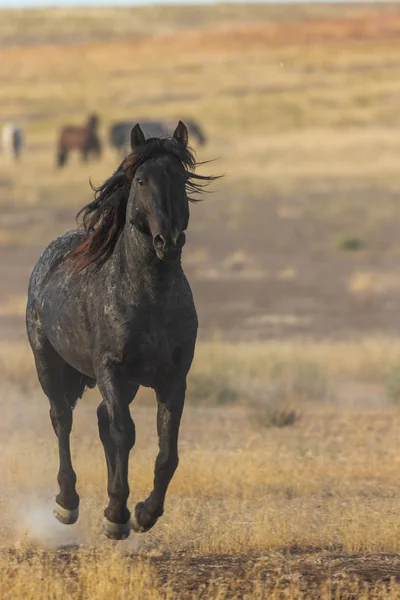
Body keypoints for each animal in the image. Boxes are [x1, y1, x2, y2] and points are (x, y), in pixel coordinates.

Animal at [26, 120, 217, 540]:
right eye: (141, 180)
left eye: (180, 178)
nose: (168, 241)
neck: (150, 296)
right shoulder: (110, 370)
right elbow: (124, 433)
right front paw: (116, 513)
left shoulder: (173, 379)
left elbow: (167, 452)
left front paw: (143, 513)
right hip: (48, 362)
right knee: (62, 419)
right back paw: (67, 503)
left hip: (125, 383)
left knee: (100, 419)